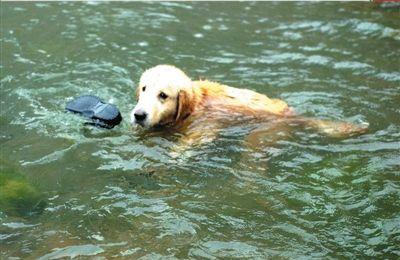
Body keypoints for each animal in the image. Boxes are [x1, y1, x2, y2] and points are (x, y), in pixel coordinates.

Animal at [130, 64, 366, 150]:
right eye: (144, 88)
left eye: (163, 95)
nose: (139, 115)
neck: (195, 106)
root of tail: (293, 115)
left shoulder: (205, 125)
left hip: (261, 136)